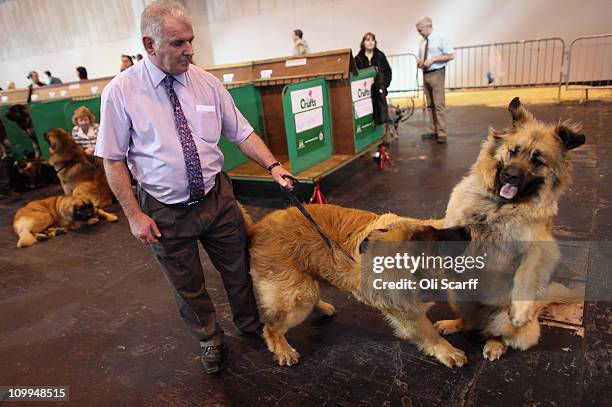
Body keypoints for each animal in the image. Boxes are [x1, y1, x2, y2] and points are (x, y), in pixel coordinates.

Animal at [240, 206, 474, 368]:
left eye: (438, 230)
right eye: (439, 241)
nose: (467, 229)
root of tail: (256, 228)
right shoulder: (407, 313)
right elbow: (429, 334)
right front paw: (447, 351)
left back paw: (322, 307)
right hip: (299, 297)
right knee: (271, 328)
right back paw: (283, 349)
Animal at [438, 97, 584, 362]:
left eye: (537, 161)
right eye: (513, 151)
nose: (511, 176)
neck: (499, 206)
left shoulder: (540, 247)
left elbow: (528, 271)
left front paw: (520, 311)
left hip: (501, 317)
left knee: (496, 333)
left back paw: (495, 343)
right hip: (456, 295)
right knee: (470, 320)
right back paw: (454, 324)